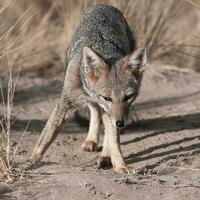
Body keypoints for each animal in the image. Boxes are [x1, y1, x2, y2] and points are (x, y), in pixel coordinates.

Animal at [30, 4, 148, 173]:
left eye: (128, 97)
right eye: (107, 97)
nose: (121, 123)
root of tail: (103, 5)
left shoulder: (111, 112)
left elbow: (114, 139)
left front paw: (120, 165)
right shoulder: (66, 102)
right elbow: (47, 134)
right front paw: (32, 160)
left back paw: (105, 156)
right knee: (94, 111)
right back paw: (92, 140)